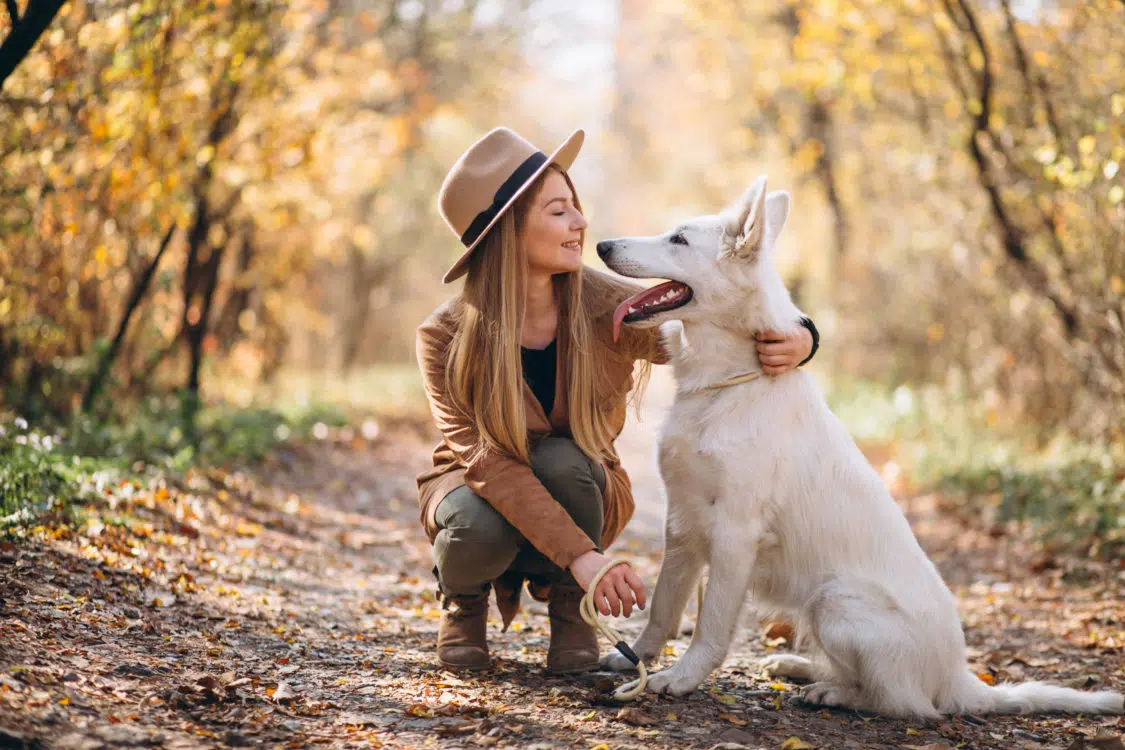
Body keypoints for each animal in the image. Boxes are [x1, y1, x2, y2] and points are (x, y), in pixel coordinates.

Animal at [594, 176, 1120, 719]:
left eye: (678, 239)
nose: (602, 245)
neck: (728, 384)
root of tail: (960, 677)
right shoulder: (681, 524)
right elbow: (662, 608)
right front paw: (636, 658)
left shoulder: (734, 534)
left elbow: (710, 627)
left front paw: (680, 678)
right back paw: (798, 667)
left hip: (836, 600)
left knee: (902, 703)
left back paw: (831, 692)